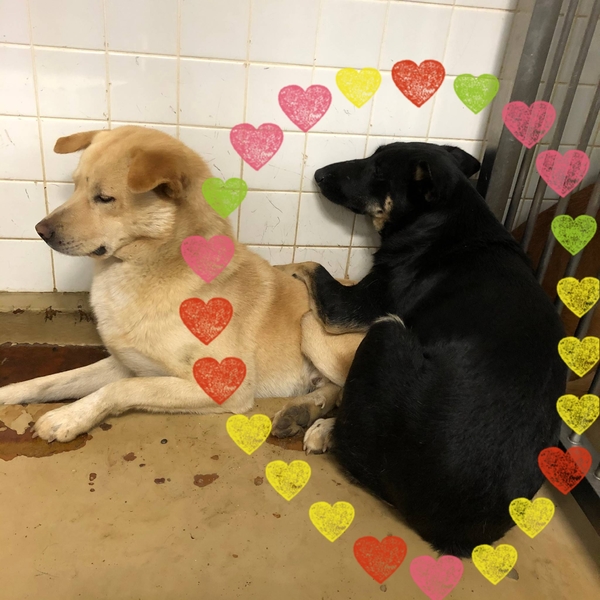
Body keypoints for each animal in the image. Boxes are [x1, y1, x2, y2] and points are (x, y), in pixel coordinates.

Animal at [0, 126, 361, 443]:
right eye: (74, 187)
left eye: (104, 198)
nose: (40, 230)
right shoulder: (129, 364)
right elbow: (55, 380)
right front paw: (11, 392)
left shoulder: (220, 386)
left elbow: (123, 389)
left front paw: (68, 417)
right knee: (334, 391)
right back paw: (302, 412)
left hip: (312, 326)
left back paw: (323, 430)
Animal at [288, 142, 567, 556]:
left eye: (378, 170)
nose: (319, 174)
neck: (442, 219)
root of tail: (456, 536)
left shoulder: (353, 306)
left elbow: (309, 262)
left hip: (386, 331)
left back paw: (324, 427)